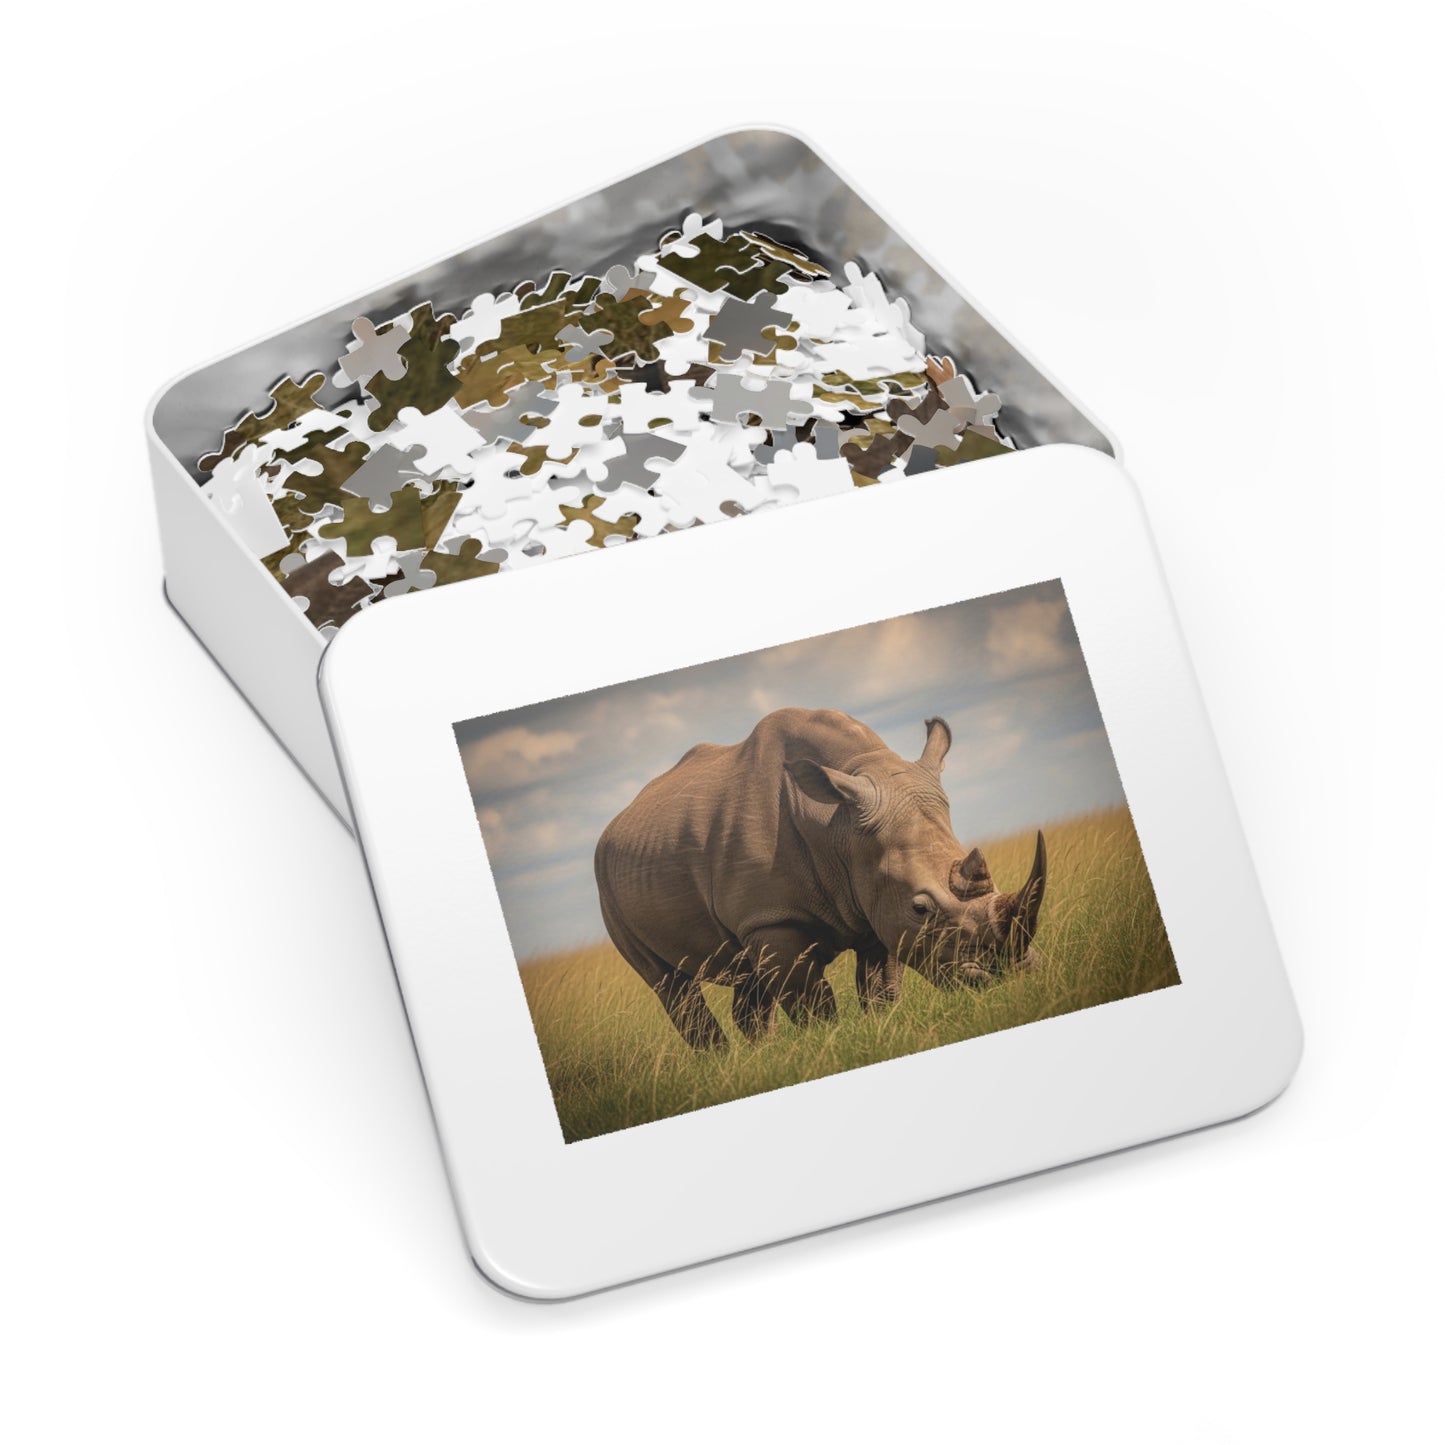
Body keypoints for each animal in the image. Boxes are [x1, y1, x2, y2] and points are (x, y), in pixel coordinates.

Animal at [594, 707, 1047, 1049]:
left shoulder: (875, 903)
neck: (838, 826)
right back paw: (720, 1063)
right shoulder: (774, 918)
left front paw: (879, 1030)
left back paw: (761, 1059)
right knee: (670, 985)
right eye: (921, 908)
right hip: (605, 884)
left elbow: (881, 988)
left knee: (748, 977)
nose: (1012, 972)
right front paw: (827, 1047)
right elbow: (813, 1004)